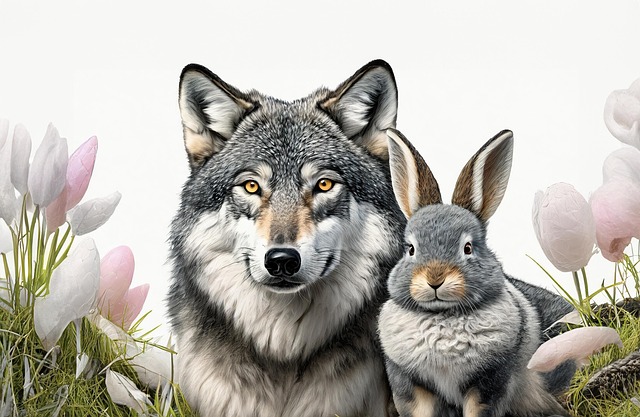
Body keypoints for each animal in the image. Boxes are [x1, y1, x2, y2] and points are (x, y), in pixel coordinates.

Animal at [378, 128, 572, 417]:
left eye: (468, 247)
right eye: (411, 249)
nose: (435, 279)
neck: (443, 315)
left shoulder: (489, 380)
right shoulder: (409, 382)